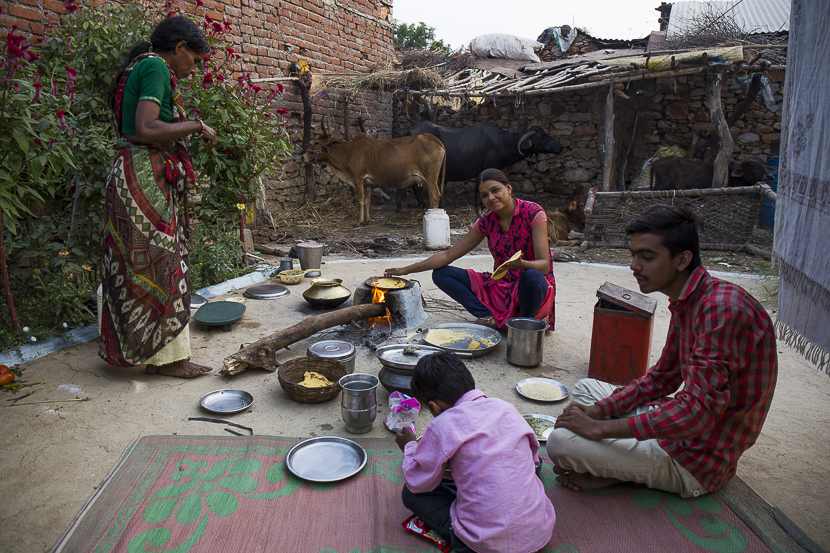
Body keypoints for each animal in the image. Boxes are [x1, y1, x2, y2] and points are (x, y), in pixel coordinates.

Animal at [304, 125, 446, 224]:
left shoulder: (358, 178)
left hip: (430, 178)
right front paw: (367, 220)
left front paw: (360, 221)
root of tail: (435, 140)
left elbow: (361, 200)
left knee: (434, 196)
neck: (349, 151)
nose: (304, 156)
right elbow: (367, 200)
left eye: (316, 142)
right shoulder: (367, 182)